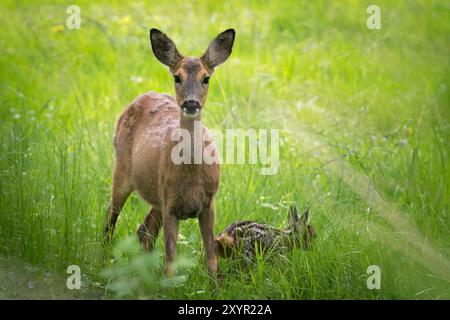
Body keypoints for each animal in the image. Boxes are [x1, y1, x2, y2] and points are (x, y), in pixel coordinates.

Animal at [103, 28, 236, 276]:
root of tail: (142, 96)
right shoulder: (170, 205)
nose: (191, 103)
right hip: (123, 171)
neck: (191, 174)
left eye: (206, 78)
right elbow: (171, 261)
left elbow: (211, 257)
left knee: (144, 231)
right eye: (177, 77)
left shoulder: (208, 203)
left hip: (156, 194)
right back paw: (103, 260)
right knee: (110, 217)